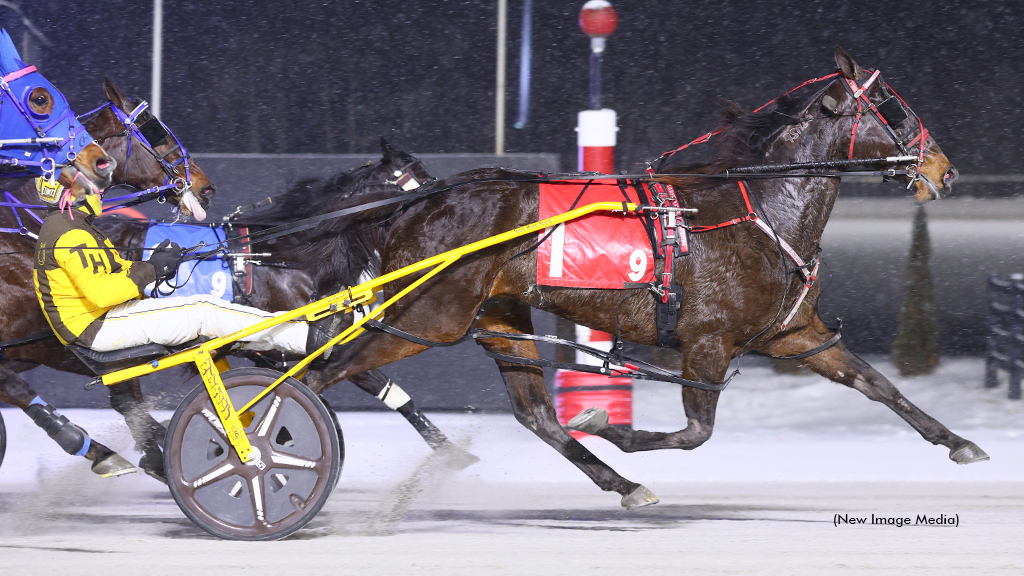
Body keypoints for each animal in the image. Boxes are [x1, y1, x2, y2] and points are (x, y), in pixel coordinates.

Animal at [301, 49, 983, 506]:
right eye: (895, 108)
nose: (945, 171)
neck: (763, 207)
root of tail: (414, 204)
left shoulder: (796, 334)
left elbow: (877, 384)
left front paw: (958, 442)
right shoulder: (707, 342)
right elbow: (697, 432)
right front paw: (613, 426)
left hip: (498, 317)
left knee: (536, 416)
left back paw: (622, 484)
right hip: (429, 316)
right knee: (321, 373)